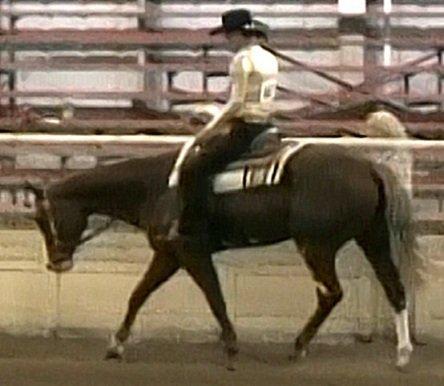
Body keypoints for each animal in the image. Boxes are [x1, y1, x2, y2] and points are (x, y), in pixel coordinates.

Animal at [26, 140, 416, 370]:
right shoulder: (168, 255)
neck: (155, 187)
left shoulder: (191, 253)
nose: (56, 262)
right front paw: (115, 346)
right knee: (394, 289)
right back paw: (402, 354)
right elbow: (138, 295)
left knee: (331, 293)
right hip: (372, 238)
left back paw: (299, 346)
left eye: (43, 218)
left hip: (317, 245)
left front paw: (230, 349)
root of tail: (369, 168)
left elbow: (214, 297)